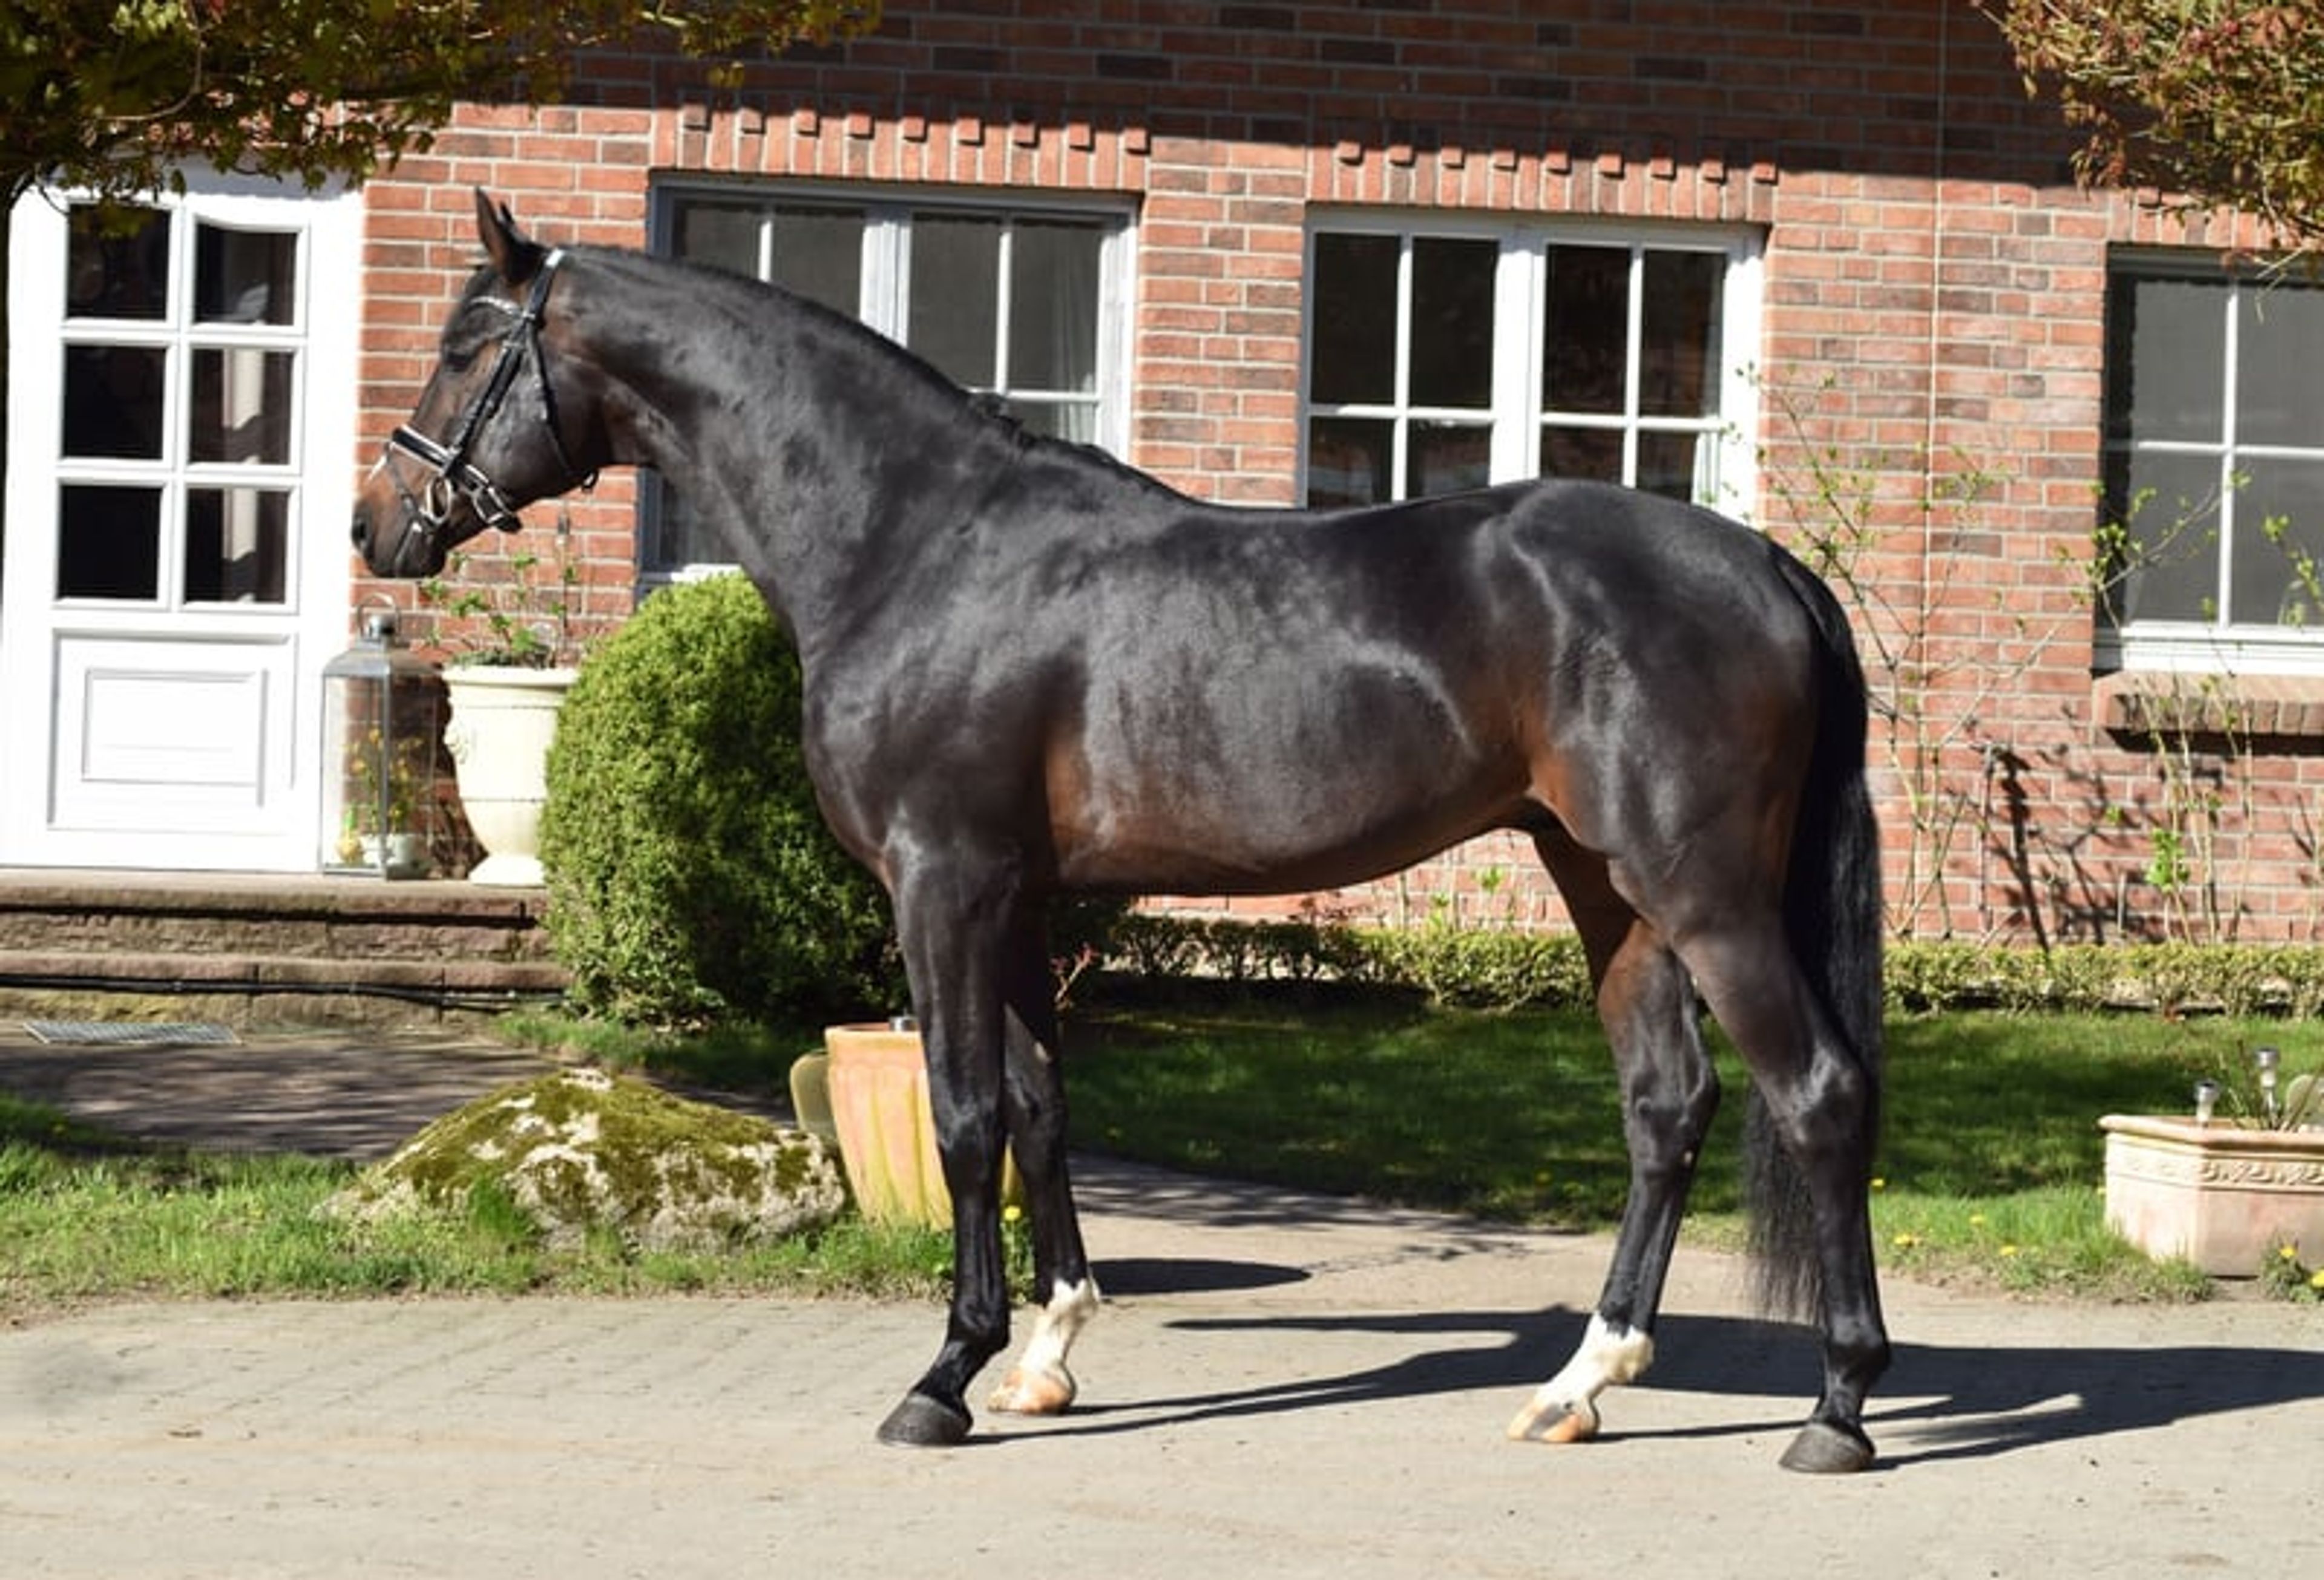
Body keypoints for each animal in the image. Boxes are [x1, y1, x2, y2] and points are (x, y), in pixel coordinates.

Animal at [353, 192, 1891, 1474]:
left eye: (459, 349)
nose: (380, 526)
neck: (916, 544)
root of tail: (1765, 563)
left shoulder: (944, 884)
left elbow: (965, 1117)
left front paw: (942, 1380)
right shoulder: (1020, 900)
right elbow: (1039, 1110)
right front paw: (1044, 1357)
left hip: (1702, 894)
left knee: (1818, 1094)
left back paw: (1835, 1410)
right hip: (1605, 887)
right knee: (1666, 1109)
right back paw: (1580, 1384)